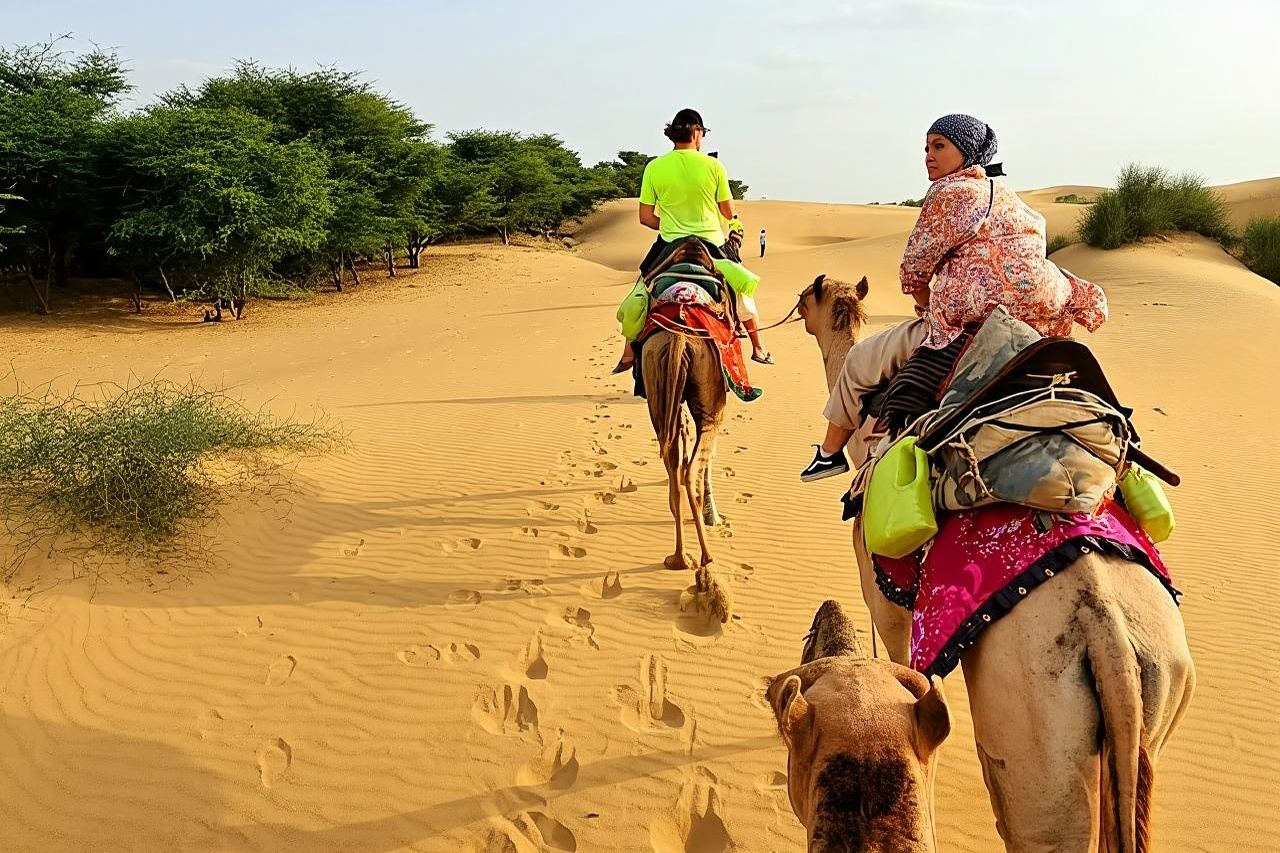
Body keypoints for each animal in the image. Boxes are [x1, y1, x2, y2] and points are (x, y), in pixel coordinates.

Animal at [798, 275, 1196, 853]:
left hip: (1035, 732)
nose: (795, 307)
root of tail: (1113, 647)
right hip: (1159, 695)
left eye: (808, 299)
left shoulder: (889, 600)